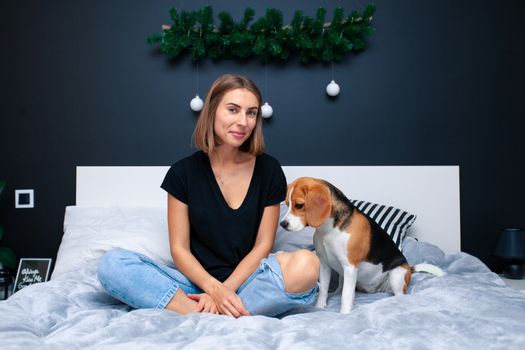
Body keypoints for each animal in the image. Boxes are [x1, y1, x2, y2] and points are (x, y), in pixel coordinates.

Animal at [278, 178, 442, 314]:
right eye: (287, 204)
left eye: (299, 205)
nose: (283, 224)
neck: (328, 230)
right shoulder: (324, 264)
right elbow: (324, 289)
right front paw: (319, 307)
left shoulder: (350, 268)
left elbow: (346, 295)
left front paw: (344, 314)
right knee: (339, 289)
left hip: (396, 275)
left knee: (399, 295)